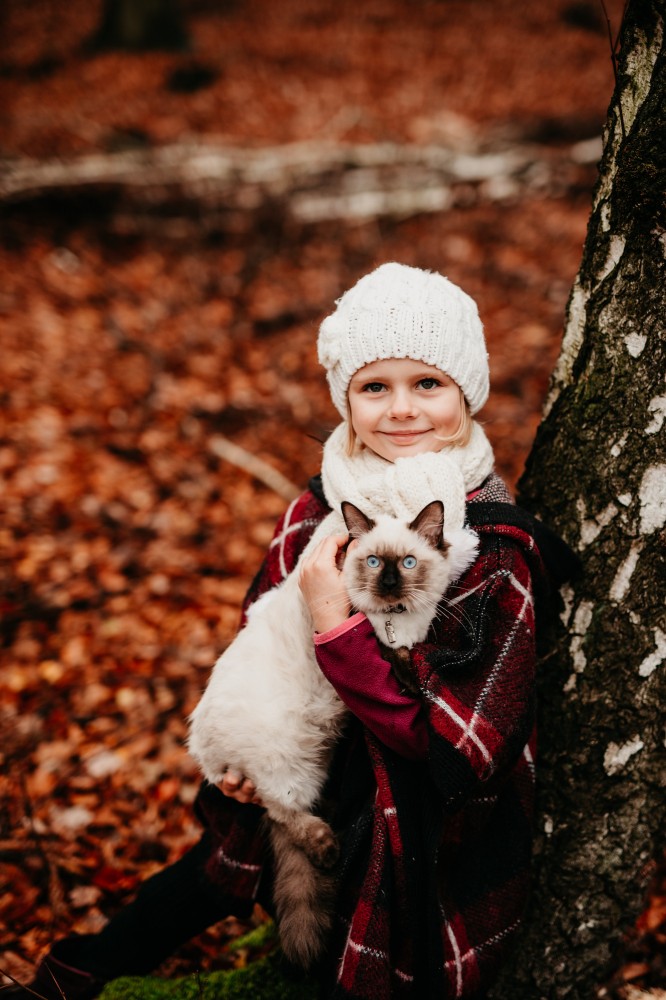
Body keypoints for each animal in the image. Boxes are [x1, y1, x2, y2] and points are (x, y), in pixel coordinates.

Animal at [187, 500, 478, 968]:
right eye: (373, 562)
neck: (399, 616)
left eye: (408, 563)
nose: (389, 584)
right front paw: (408, 679)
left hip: (314, 760)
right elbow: (393, 655)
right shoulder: (370, 629)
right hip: (286, 770)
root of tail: (201, 749)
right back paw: (327, 850)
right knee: (282, 814)